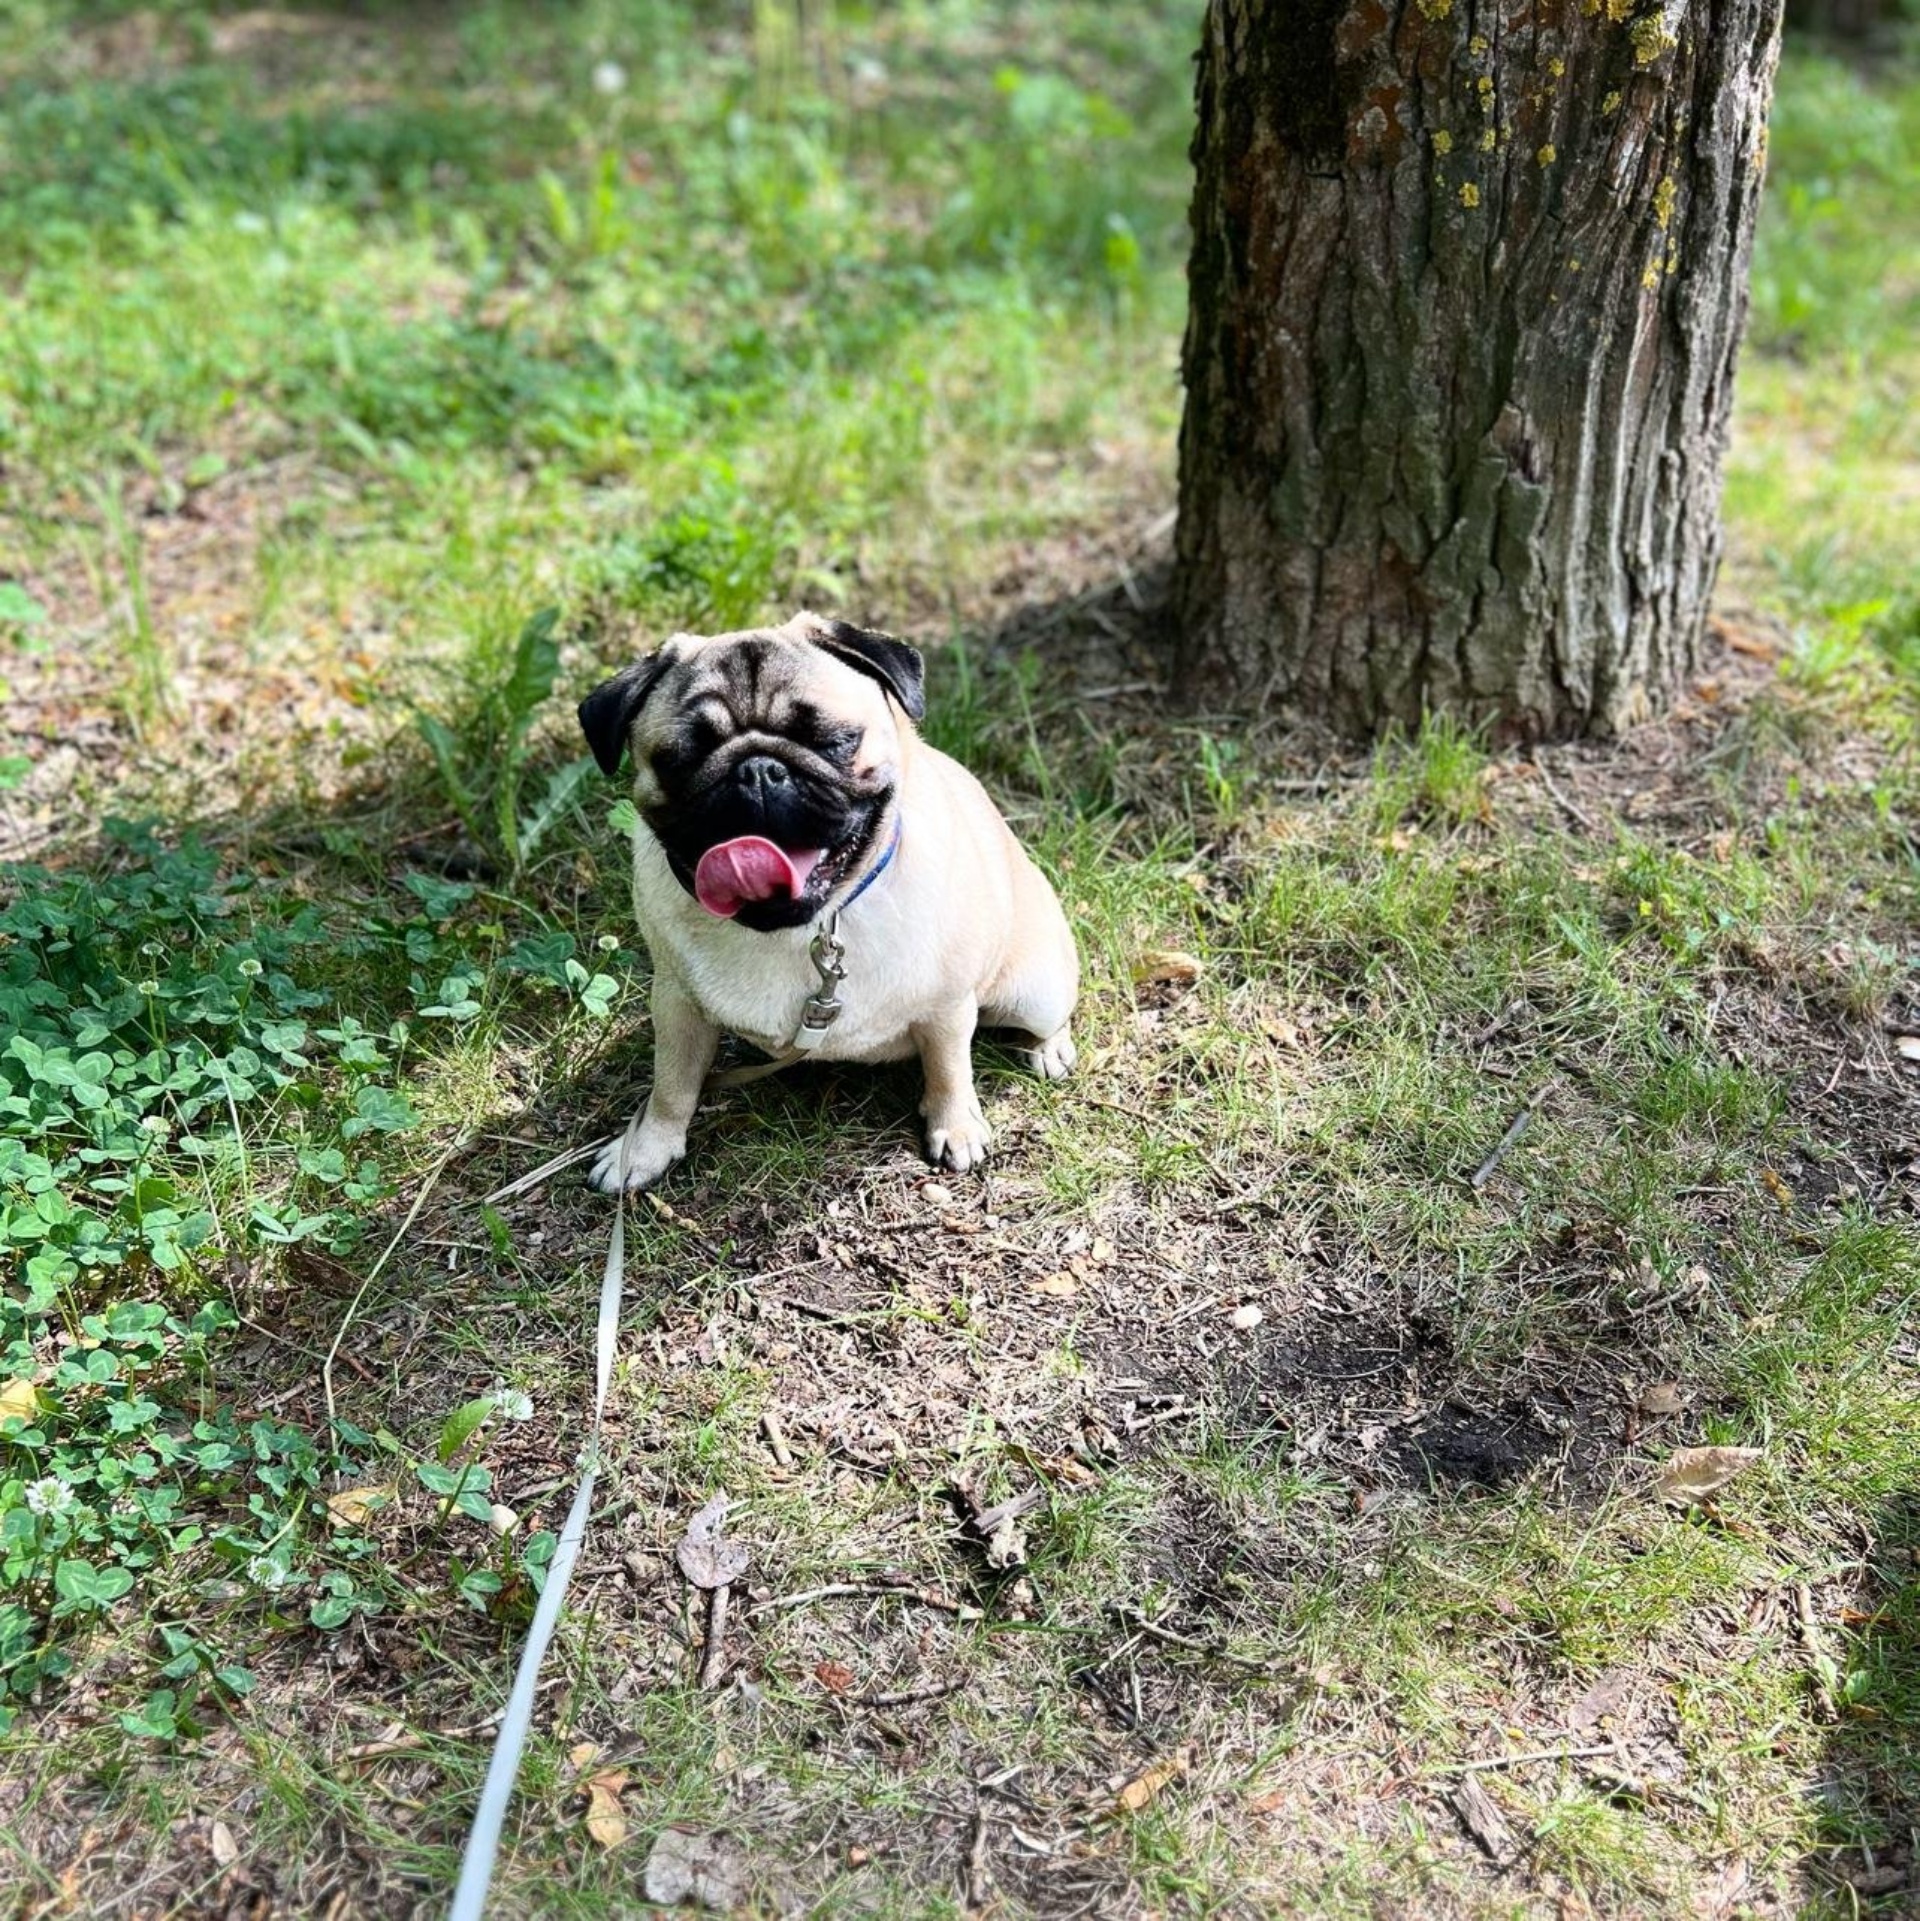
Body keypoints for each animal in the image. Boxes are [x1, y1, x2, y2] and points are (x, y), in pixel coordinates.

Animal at [568, 610, 1083, 1183]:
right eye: (681, 759)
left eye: (834, 740)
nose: (757, 769)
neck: (808, 923)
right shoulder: (677, 1002)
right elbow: (671, 1082)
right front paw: (644, 1147)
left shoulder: (946, 1006)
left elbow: (949, 1068)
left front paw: (956, 1128)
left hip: (1036, 991)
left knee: (1047, 1016)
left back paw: (1049, 1050)